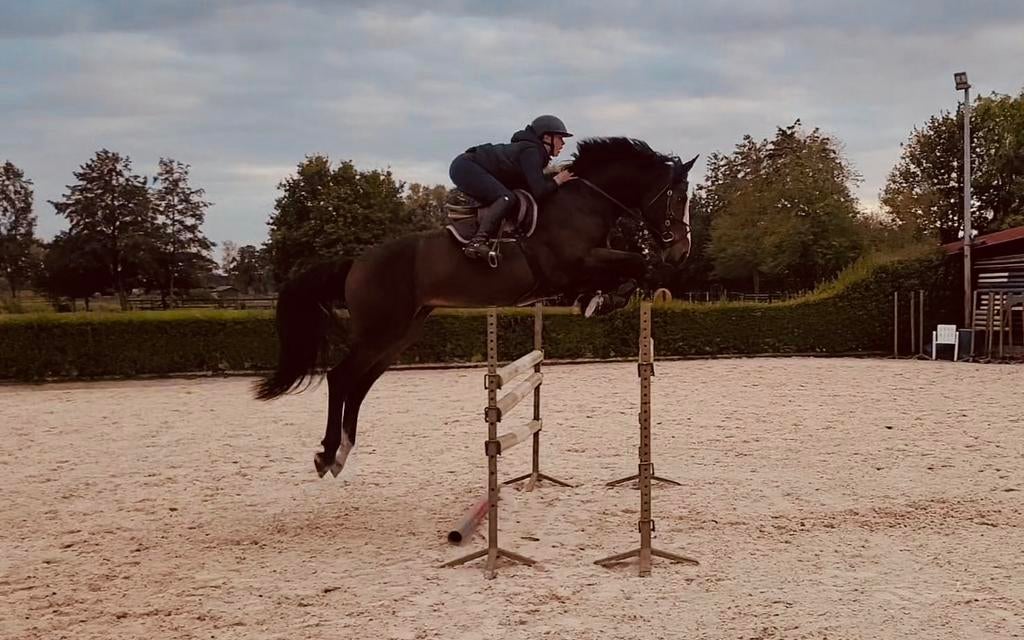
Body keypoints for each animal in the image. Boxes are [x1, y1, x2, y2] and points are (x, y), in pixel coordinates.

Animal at [255, 137, 698, 477]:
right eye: (677, 197)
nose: (681, 251)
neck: (583, 200)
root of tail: (356, 262)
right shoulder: (572, 267)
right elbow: (638, 263)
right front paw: (605, 297)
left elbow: (633, 269)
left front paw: (602, 300)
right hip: (380, 331)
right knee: (340, 377)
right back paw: (328, 453)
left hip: (399, 335)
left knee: (359, 383)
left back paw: (343, 450)